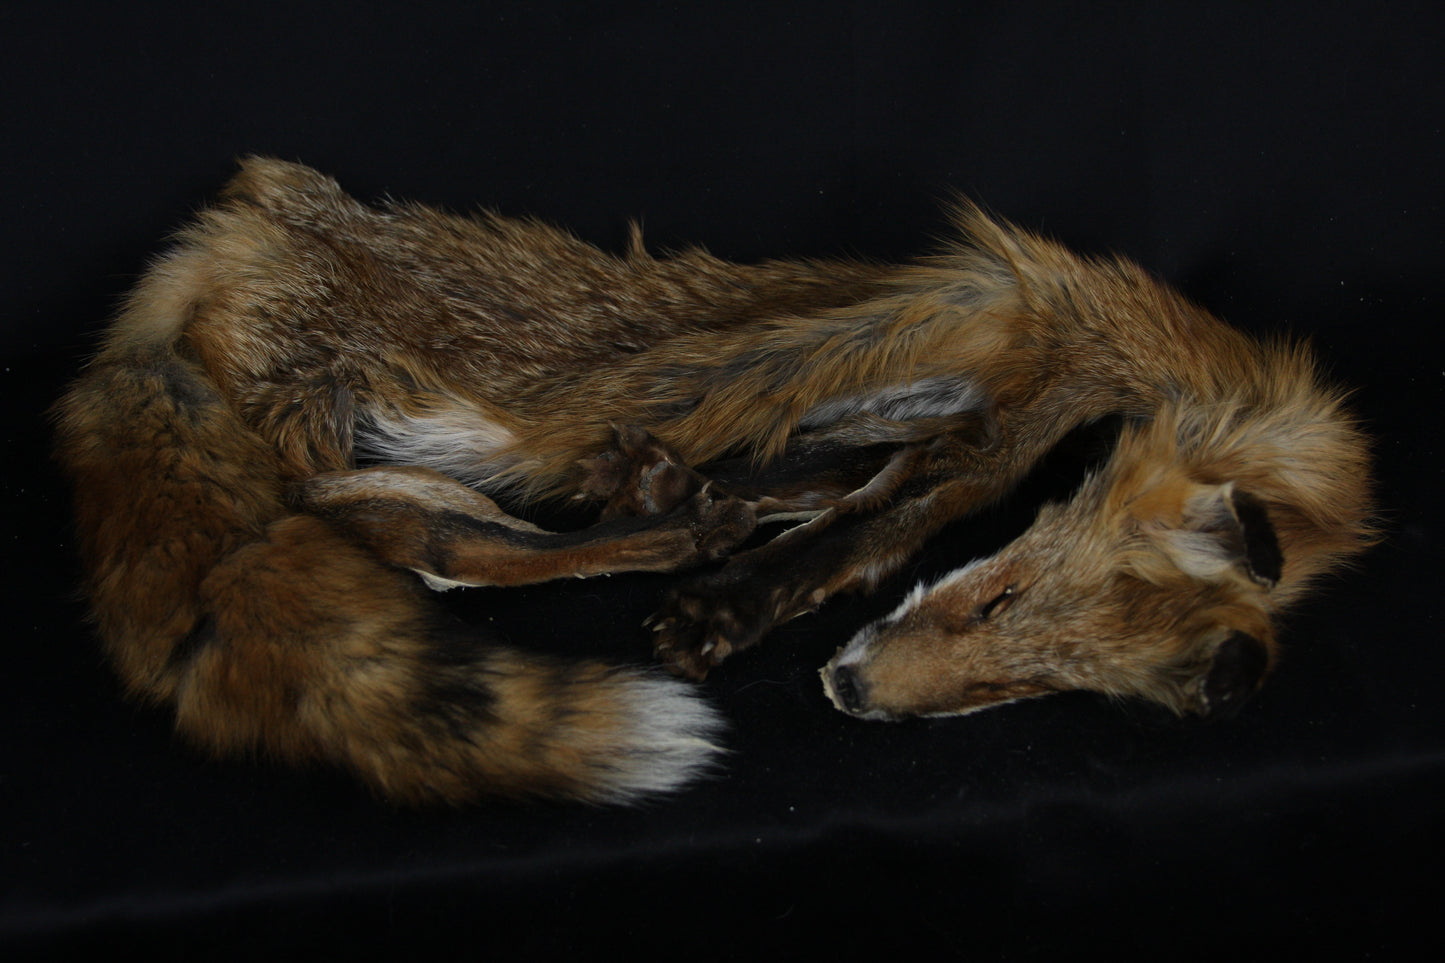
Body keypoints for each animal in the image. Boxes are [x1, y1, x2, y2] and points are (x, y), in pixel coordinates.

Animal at [55, 158, 1373, 805]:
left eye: (1021, 689)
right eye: (996, 600)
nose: (847, 688)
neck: (1150, 361)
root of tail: (221, 234)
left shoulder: (946, 421)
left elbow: (840, 484)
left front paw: (718, 516)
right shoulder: (1018, 383)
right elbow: (871, 521)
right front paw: (733, 597)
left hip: (352, 467)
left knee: (442, 548)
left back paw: (656, 509)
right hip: (316, 423)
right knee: (450, 548)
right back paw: (674, 533)